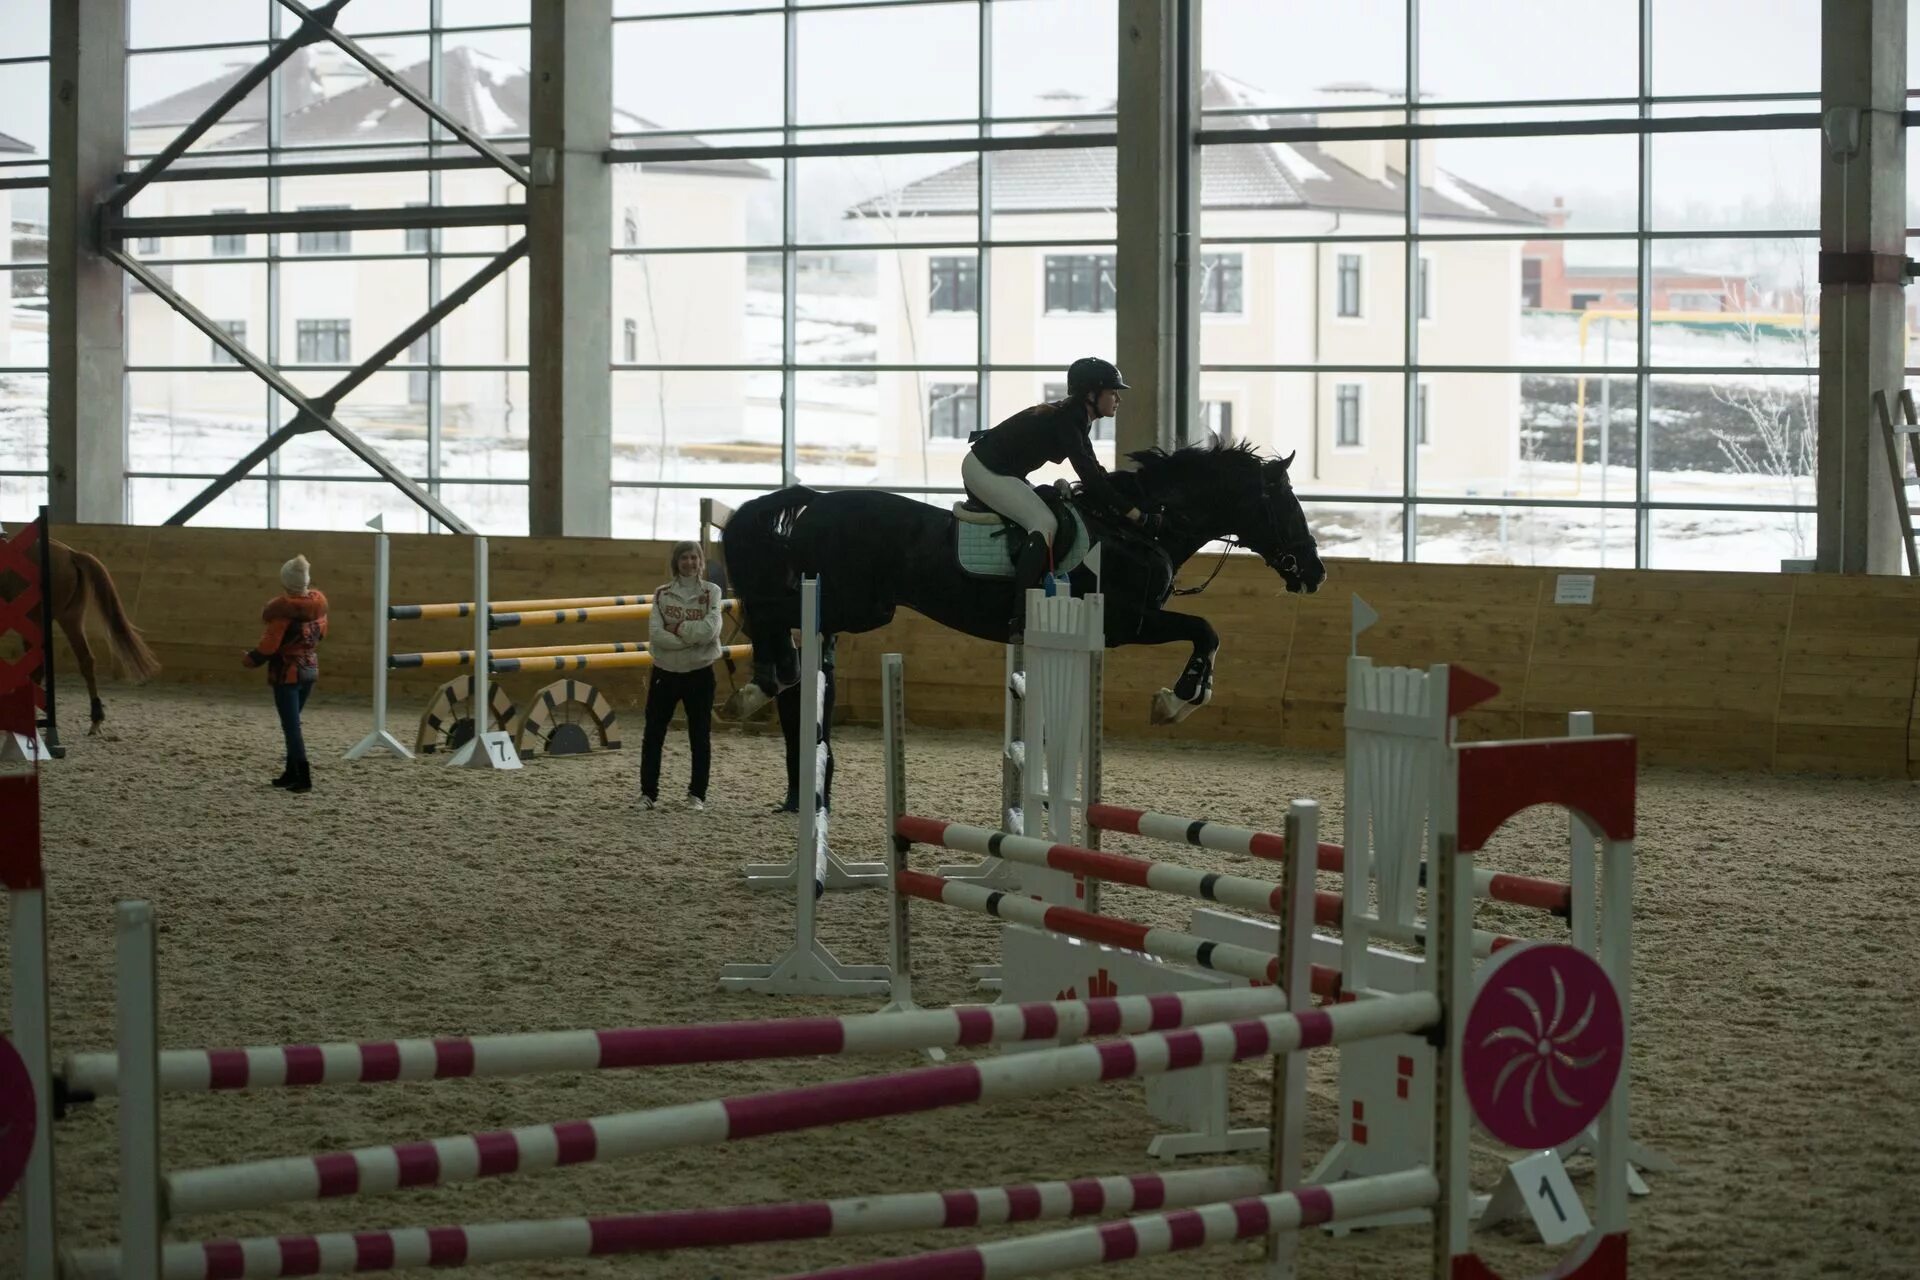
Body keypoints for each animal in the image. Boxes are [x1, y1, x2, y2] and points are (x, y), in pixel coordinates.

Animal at [714, 441, 1328, 725]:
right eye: (1286, 505)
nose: (1315, 572)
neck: (1142, 528)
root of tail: (815, 501)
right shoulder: (1127, 623)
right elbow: (1205, 629)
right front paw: (1176, 701)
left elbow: (1208, 632)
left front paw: (1183, 699)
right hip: (858, 604)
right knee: (771, 612)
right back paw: (756, 687)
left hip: (859, 605)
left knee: (778, 614)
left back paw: (766, 681)